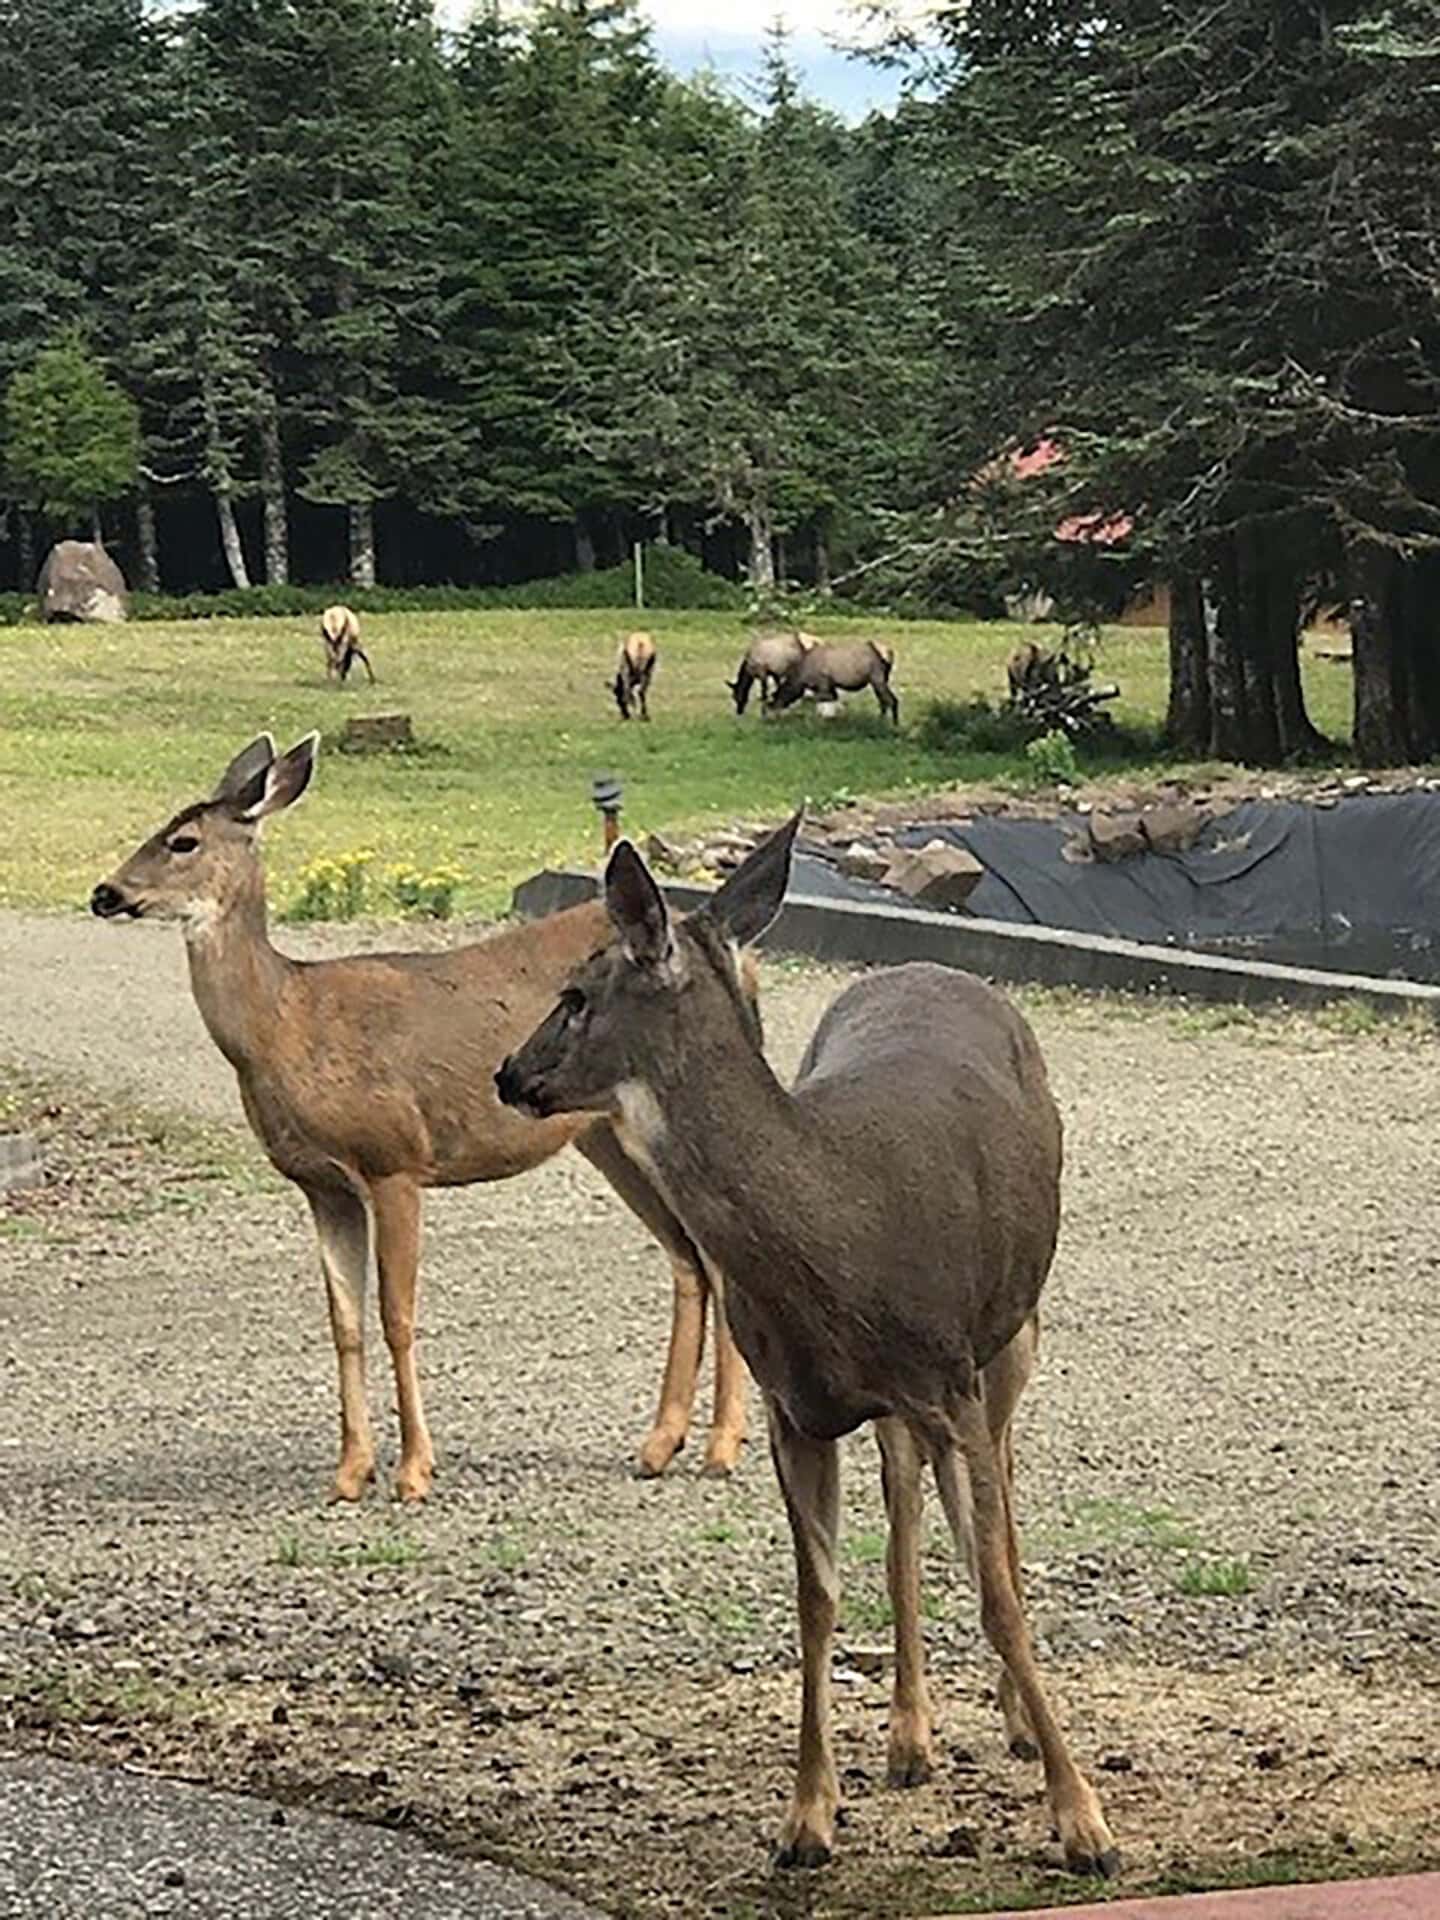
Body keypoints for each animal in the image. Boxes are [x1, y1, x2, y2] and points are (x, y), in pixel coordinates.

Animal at [89, 733, 750, 1501]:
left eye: (183, 840)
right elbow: (344, 1322)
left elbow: (396, 1316)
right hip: (605, 1137)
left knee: (716, 1253)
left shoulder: (394, 1160)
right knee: (689, 1259)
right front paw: (350, 1471)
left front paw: (413, 1471)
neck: (286, 1025)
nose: (105, 893)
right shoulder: (323, 1185)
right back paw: (660, 1445)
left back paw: (722, 1446)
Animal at [495, 818, 1117, 1878]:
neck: (836, 1229)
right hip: (908, 1400)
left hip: (1011, 1334)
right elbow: (817, 1599)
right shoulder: (797, 1409)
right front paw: (808, 1820)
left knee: (995, 1493)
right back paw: (909, 1736)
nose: (506, 1073)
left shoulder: (948, 1374)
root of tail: (931, 965)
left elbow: (993, 1584)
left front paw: (1082, 1821)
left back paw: (1011, 1722)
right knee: (905, 1496)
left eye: (575, 994)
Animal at [769, 637, 899, 725]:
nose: (773, 714)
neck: (801, 677)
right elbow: (831, 702)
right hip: (877, 681)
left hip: (877, 679)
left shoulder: (823, 683)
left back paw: (894, 724)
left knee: (891, 700)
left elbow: (824, 703)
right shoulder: (829, 685)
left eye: (779, 695)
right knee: (884, 701)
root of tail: (890, 654)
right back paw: (881, 720)